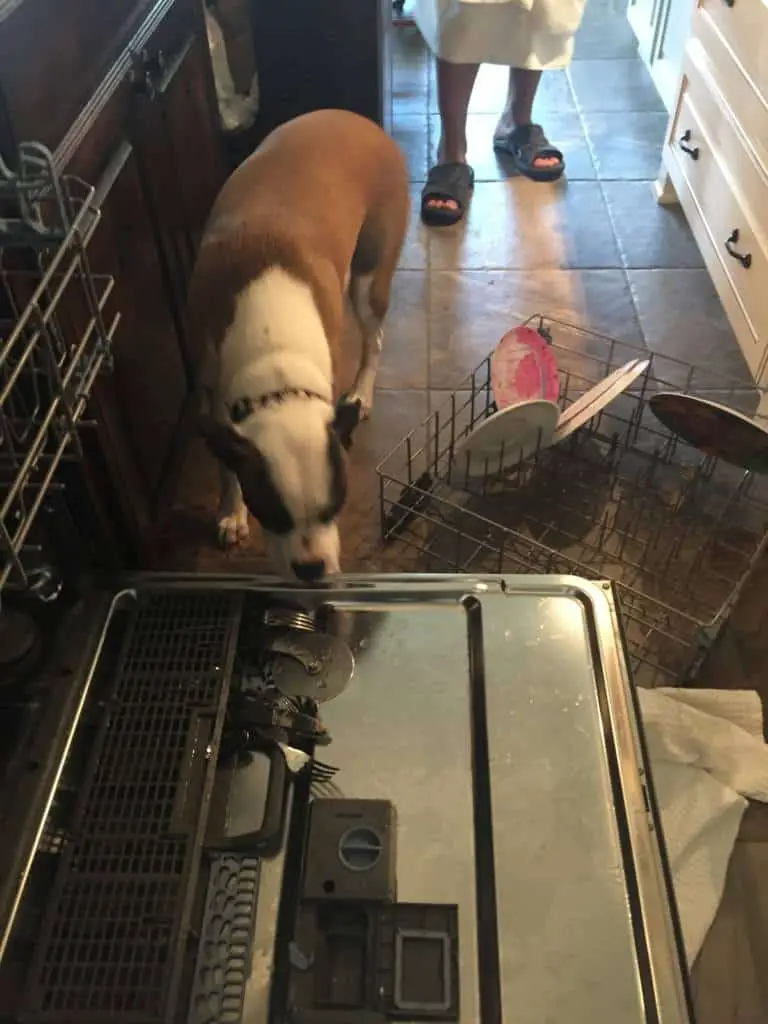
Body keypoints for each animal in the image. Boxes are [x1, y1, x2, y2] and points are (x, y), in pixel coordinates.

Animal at [190, 111, 411, 581]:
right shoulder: (211, 394)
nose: (311, 569)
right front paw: (231, 513)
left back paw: (362, 392)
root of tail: (360, 120)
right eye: (271, 514)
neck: (273, 354)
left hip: (369, 278)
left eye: (337, 507)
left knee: (374, 338)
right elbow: (225, 465)